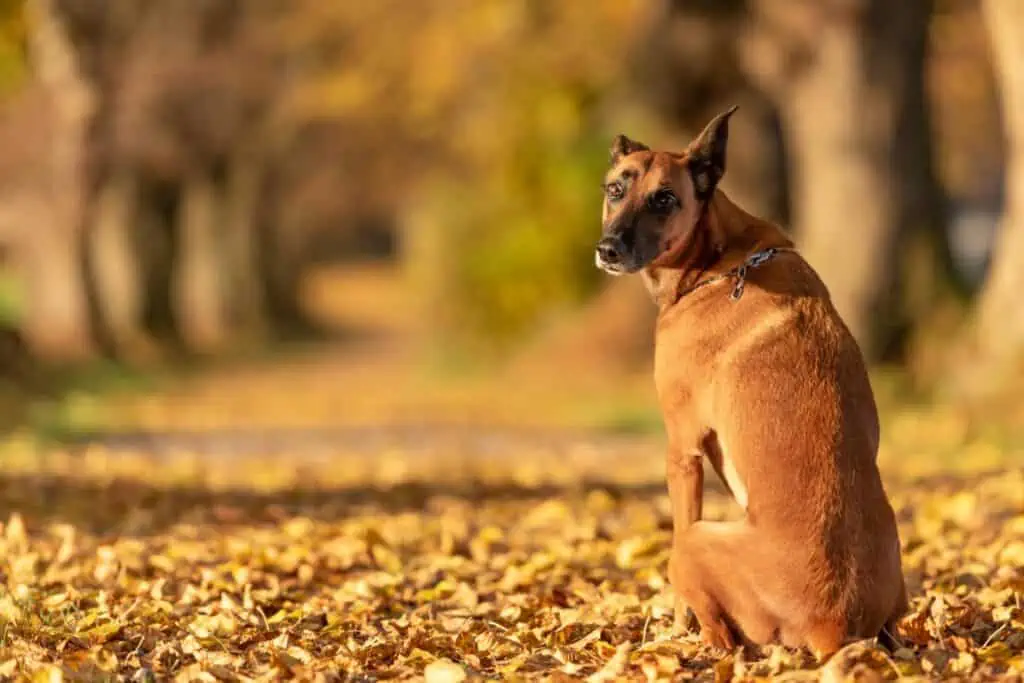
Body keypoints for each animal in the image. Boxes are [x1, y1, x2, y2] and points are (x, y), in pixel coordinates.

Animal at [598, 107, 909, 655]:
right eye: (615, 189)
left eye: (664, 199)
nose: (608, 249)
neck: (721, 264)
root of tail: (833, 624)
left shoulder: (682, 451)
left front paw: (675, 626)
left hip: (694, 541)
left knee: (723, 636)